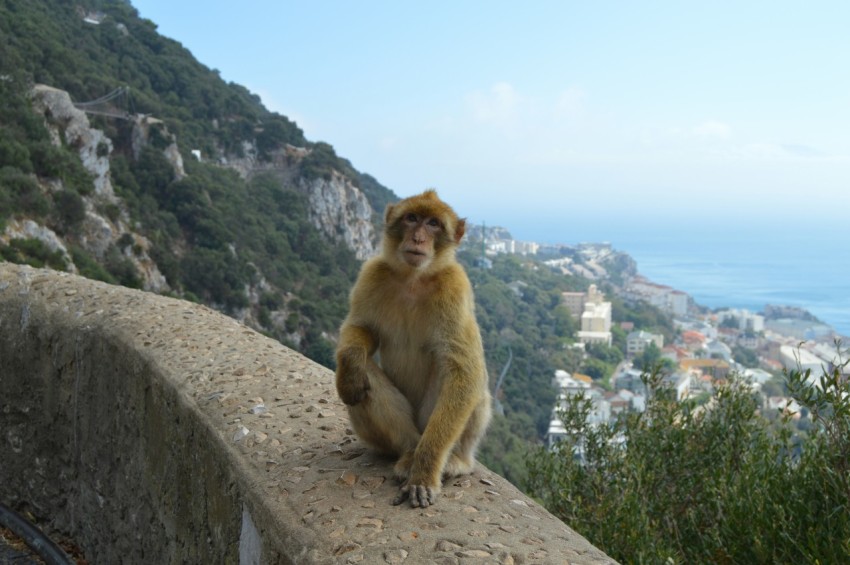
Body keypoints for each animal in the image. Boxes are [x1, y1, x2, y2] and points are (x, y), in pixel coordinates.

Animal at [332, 188, 490, 506]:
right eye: (412, 218)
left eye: (433, 224)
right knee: (364, 376)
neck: (413, 278)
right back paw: (407, 453)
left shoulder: (455, 288)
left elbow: (465, 372)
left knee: (454, 374)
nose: (417, 238)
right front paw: (350, 368)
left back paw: (452, 461)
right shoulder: (372, 273)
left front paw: (424, 474)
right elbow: (361, 329)